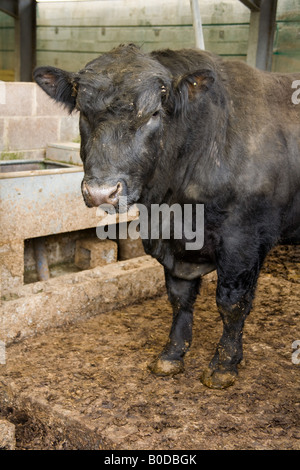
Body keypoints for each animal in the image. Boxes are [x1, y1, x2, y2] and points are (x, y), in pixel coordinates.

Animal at [34, 44, 298, 390]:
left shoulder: (244, 239)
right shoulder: (171, 241)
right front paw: (172, 355)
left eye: (154, 114)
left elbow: (232, 304)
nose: (101, 192)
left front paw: (224, 365)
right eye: (83, 111)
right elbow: (179, 298)